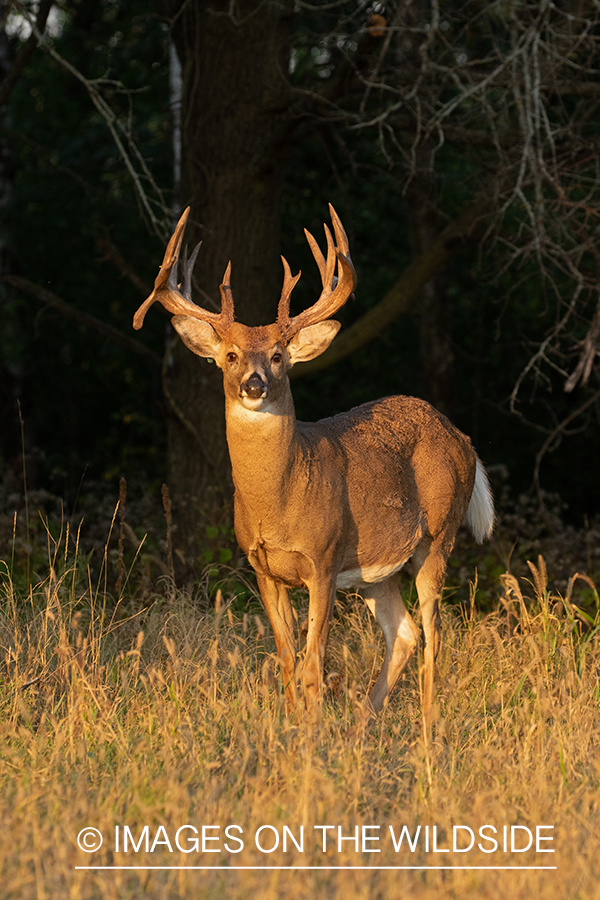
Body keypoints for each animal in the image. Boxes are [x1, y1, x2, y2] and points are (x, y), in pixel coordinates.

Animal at [134, 206, 494, 732]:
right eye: (230, 355)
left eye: (278, 355)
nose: (255, 384)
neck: (278, 503)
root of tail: (462, 437)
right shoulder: (261, 566)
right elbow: (287, 660)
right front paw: (293, 727)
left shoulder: (323, 560)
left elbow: (313, 663)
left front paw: (312, 732)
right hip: (375, 571)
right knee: (404, 632)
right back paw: (363, 721)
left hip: (439, 535)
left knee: (433, 633)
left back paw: (428, 728)